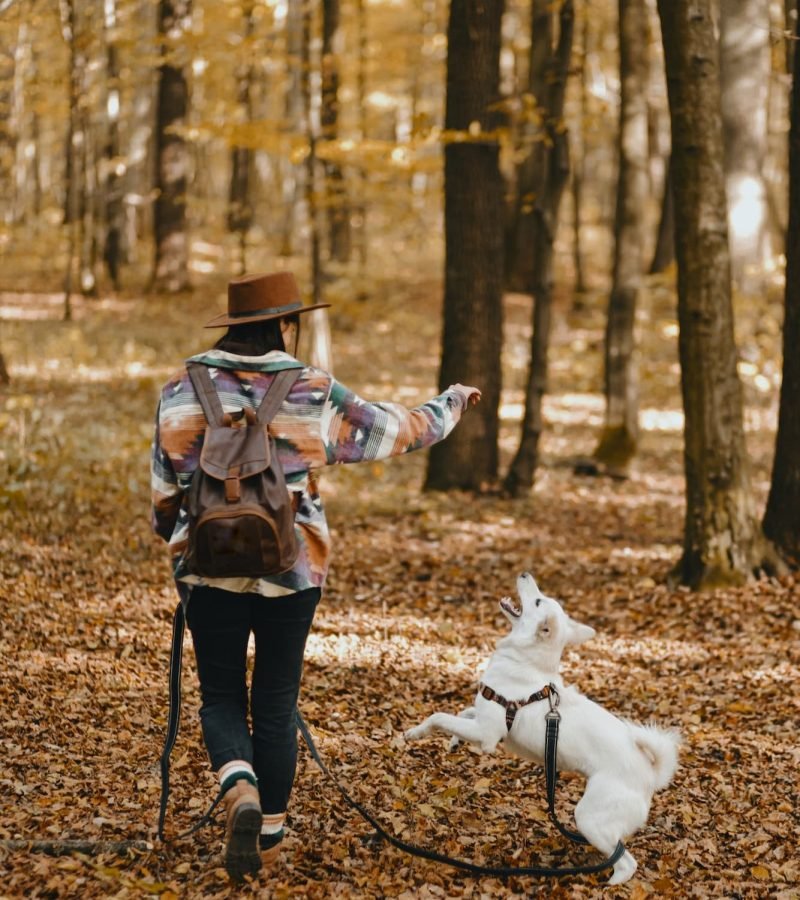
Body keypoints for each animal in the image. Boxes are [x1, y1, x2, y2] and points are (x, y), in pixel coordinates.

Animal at [406, 572, 680, 884]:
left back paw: (607, 886)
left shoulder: (487, 735)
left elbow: (439, 716)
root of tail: (651, 774)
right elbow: (463, 712)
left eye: (537, 601)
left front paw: (415, 733)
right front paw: (454, 741)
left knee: (626, 863)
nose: (525, 574)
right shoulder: (483, 720)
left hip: (589, 818)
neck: (527, 661)